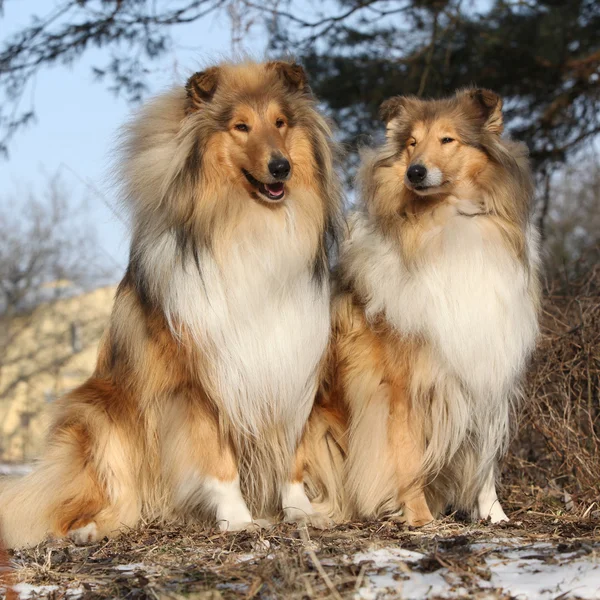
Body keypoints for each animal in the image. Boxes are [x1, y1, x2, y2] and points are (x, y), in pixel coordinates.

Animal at [0, 61, 342, 548]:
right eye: (241, 127)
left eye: (280, 122)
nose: (281, 167)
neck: (249, 227)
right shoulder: (196, 383)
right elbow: (217, 462)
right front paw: (238, 520)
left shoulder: (290, 367)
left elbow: (291, 452)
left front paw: (301, 512)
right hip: (98, 417)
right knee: (74, 506)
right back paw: (90, 530)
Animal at [308, 88, 540, 524]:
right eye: (412, 143)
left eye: (448, 139)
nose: (414, 173)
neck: (449, 224)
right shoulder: (398, 385)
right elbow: (405, 452)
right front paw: (419, 519)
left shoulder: (484, 369)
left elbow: (484, 462)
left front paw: (495, 516)